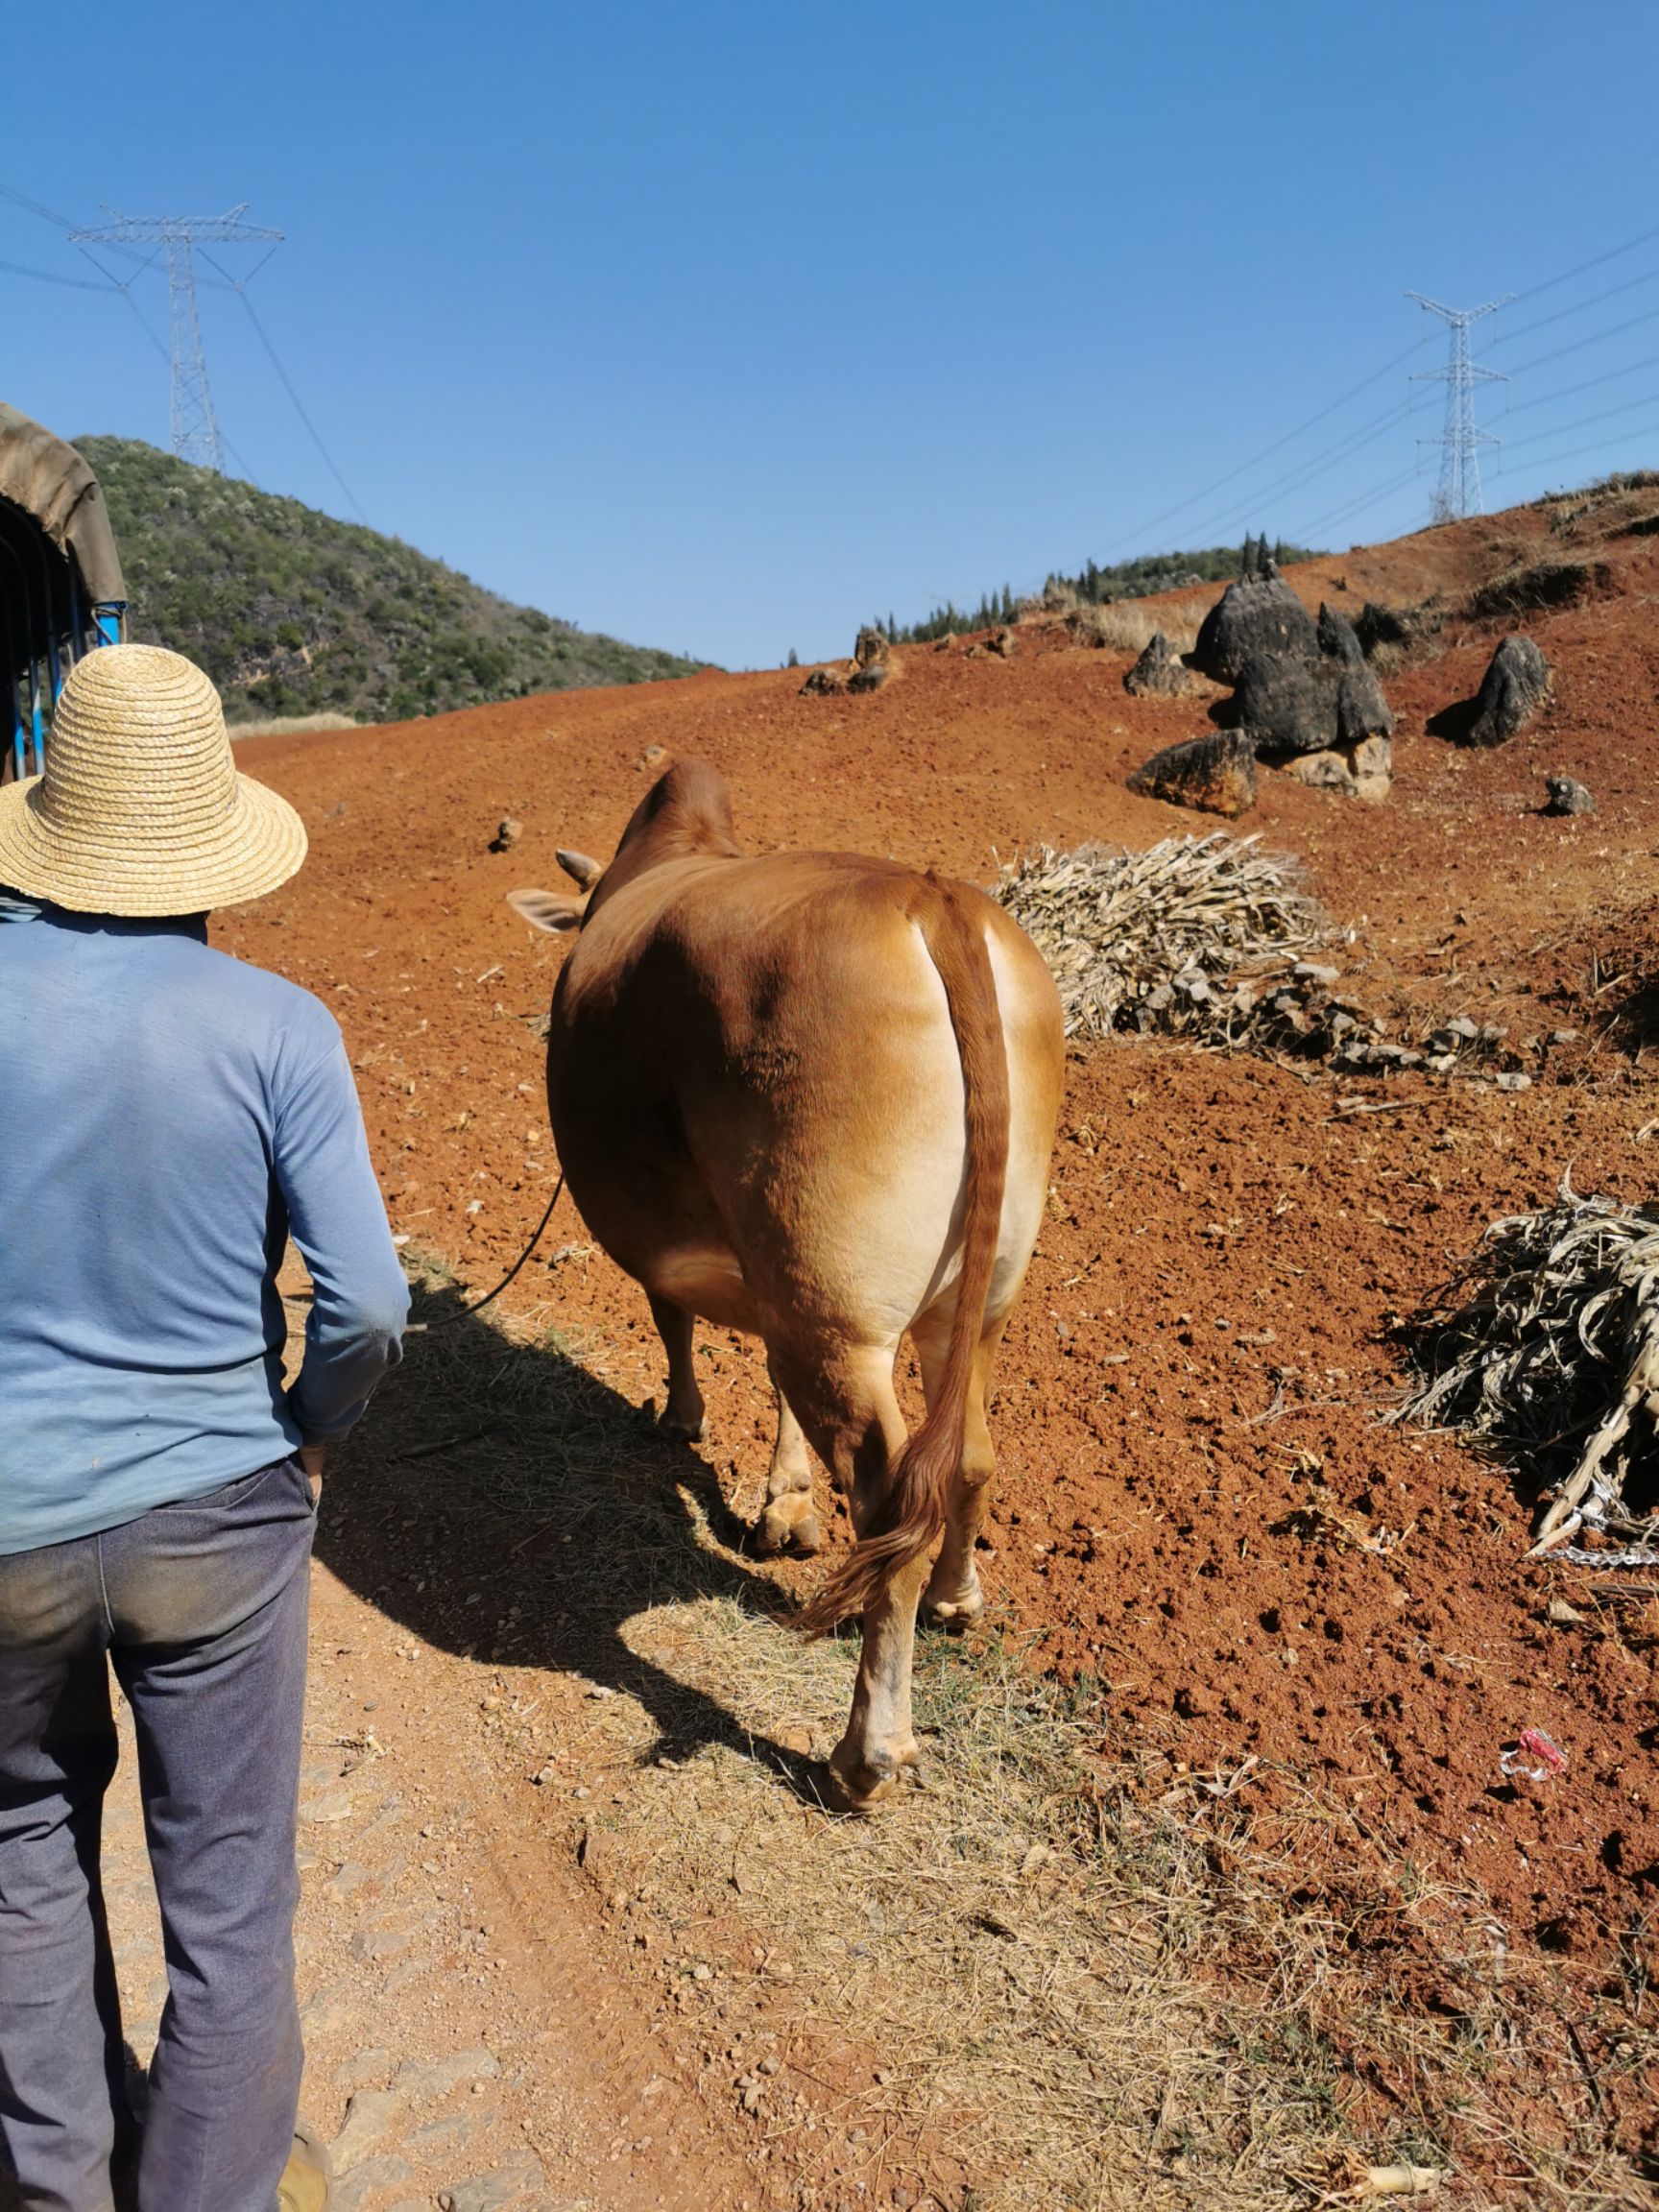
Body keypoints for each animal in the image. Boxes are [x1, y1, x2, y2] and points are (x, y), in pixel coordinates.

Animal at [506, 769, 1070, 1805]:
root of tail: (932, 896)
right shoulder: (771, 1275)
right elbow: (769, 1383)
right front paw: (786, 1504)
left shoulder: (683, 1247)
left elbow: (673, 1320)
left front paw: (685, 1421)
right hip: (965, 1302)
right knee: (968, 1457)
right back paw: (956, 1598)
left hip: (835, 1311)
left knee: (890, 1502)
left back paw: (867, 1751)